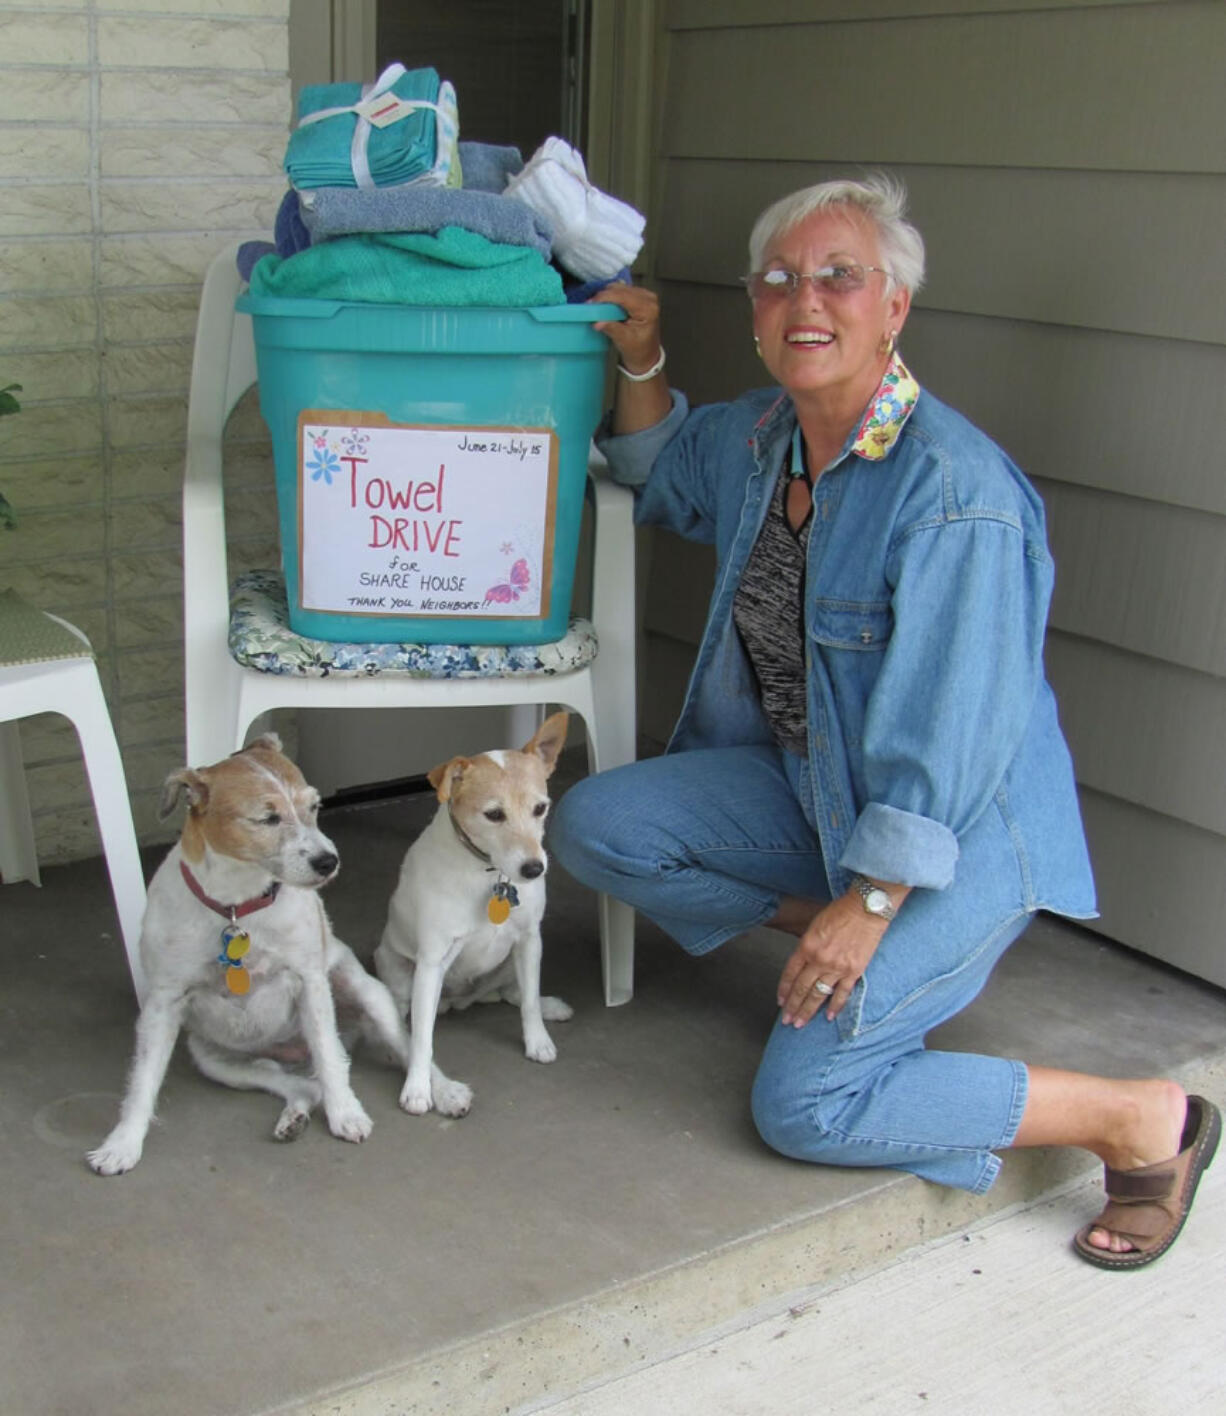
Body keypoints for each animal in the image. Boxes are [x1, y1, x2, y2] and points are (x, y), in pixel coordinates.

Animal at [88, 736, 470, 1178]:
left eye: (315, 806)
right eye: (267, 818)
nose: (328, 861)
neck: (237, 908)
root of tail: (294, 1054)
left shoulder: (309, 982)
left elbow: (330, 1057)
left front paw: (346, 1114)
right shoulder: (163, 1004)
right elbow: (142, 1080)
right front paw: (123, 1143)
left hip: (370, 997)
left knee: (400, 1050)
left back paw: (442, 1090)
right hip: (219, 1061)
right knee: (302, 1085)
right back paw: (294, 1116)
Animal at [370, 713, 571, 1110]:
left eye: (540, 808)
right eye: (493, 814)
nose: (533, 869)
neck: (489, 872)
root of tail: (459, 1001)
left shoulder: (529, 939)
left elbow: (528, 1001)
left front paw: (537, 1039)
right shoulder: (432, 961)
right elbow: (422, 1040)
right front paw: (418, 1088)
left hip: (511, 961)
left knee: (513, 993)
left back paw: (550, 1005)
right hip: (400, 973)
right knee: (408, 1023)